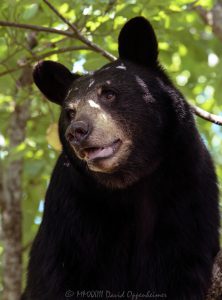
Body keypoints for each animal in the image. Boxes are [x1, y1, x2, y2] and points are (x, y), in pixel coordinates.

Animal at [23, 17, 219, 300]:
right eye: (70, 112)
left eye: (109, 93)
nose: (77, 131)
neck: (129, 183)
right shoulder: (70, 209)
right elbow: (55, 273)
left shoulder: (186, 188)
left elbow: (179, 263)